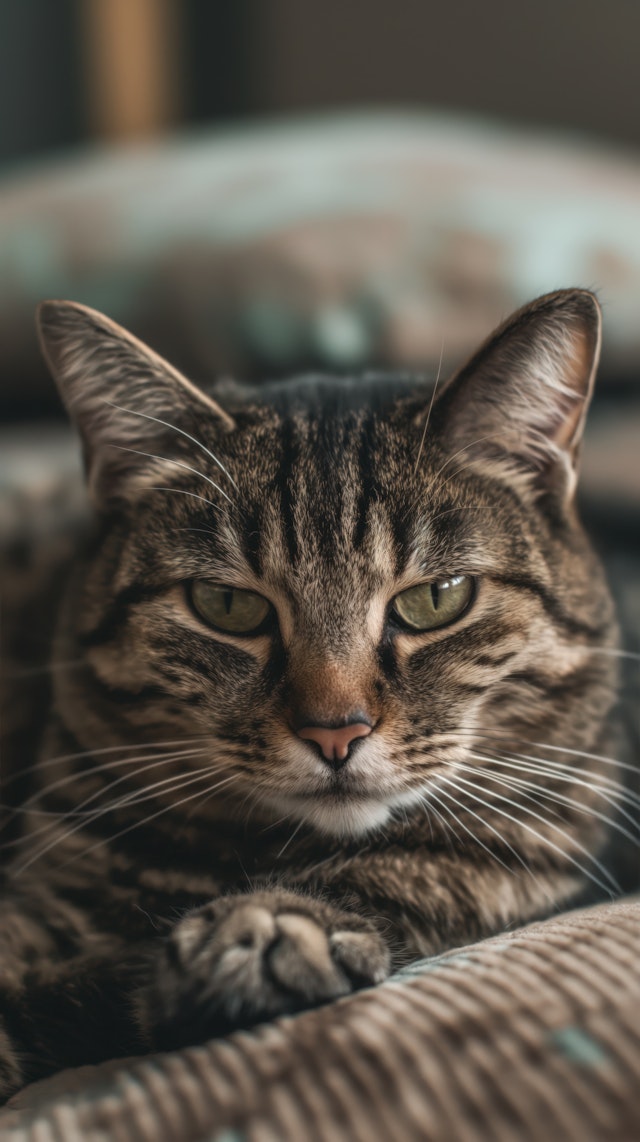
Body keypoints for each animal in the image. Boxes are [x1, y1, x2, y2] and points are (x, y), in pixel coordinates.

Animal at [0, 287, 630, 1096]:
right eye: (225, 605)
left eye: (438, 598)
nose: (336, 730)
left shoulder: (546, 831)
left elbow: (427, 869)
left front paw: (268, 929)